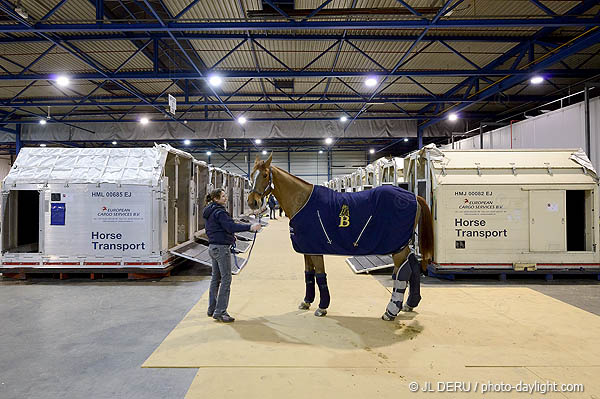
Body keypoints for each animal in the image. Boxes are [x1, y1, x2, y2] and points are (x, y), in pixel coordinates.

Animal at [246, 153, 434, 322]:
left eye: (264, 175)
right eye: (251, 175)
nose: (252, 202)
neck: (303, 201)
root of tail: (413, 196)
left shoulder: (316, 250)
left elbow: (320, 275)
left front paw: (322, 307)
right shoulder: (307, 248)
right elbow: (308, 275)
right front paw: (307, 301)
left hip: (397, 247)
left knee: (403, 272)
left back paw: (390, 311)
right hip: (403, 244)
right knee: (413, 266)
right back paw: (410, 303)